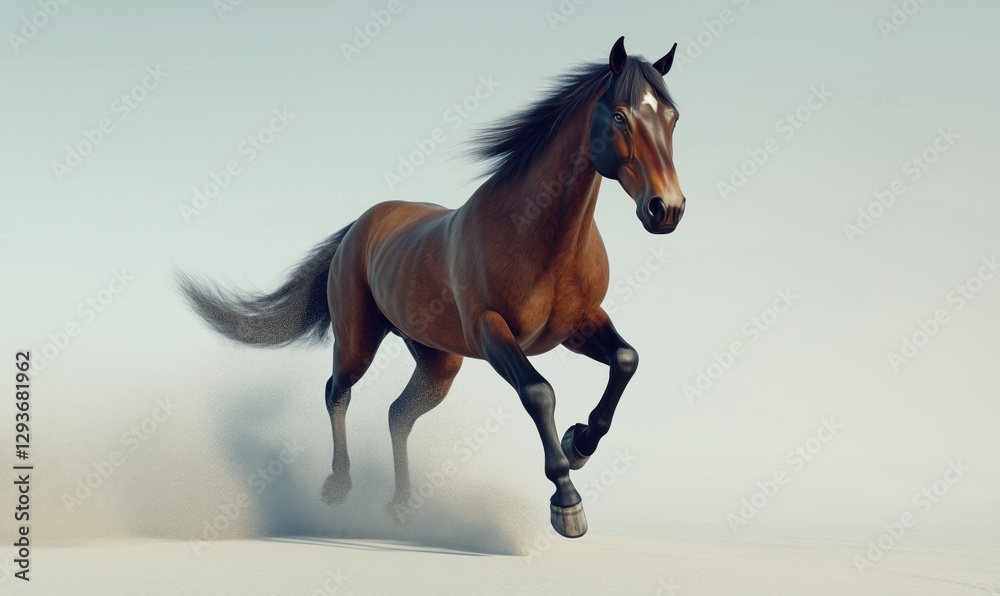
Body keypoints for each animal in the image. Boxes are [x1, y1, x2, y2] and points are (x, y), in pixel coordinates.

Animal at [178, 36, 686, 538]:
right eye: (619, 116)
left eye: (672, 117)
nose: (667, 209)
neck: (536, 234)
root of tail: (360, 224)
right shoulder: (491, 331)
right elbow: (539, 392)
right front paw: (567, 503)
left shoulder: (578, 325)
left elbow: (626, 359)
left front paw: (579, 443)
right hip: (359, 342)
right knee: (336, 392)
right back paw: (339, 488)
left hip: (438, 362)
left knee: (398, 414)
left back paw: (402, 506)